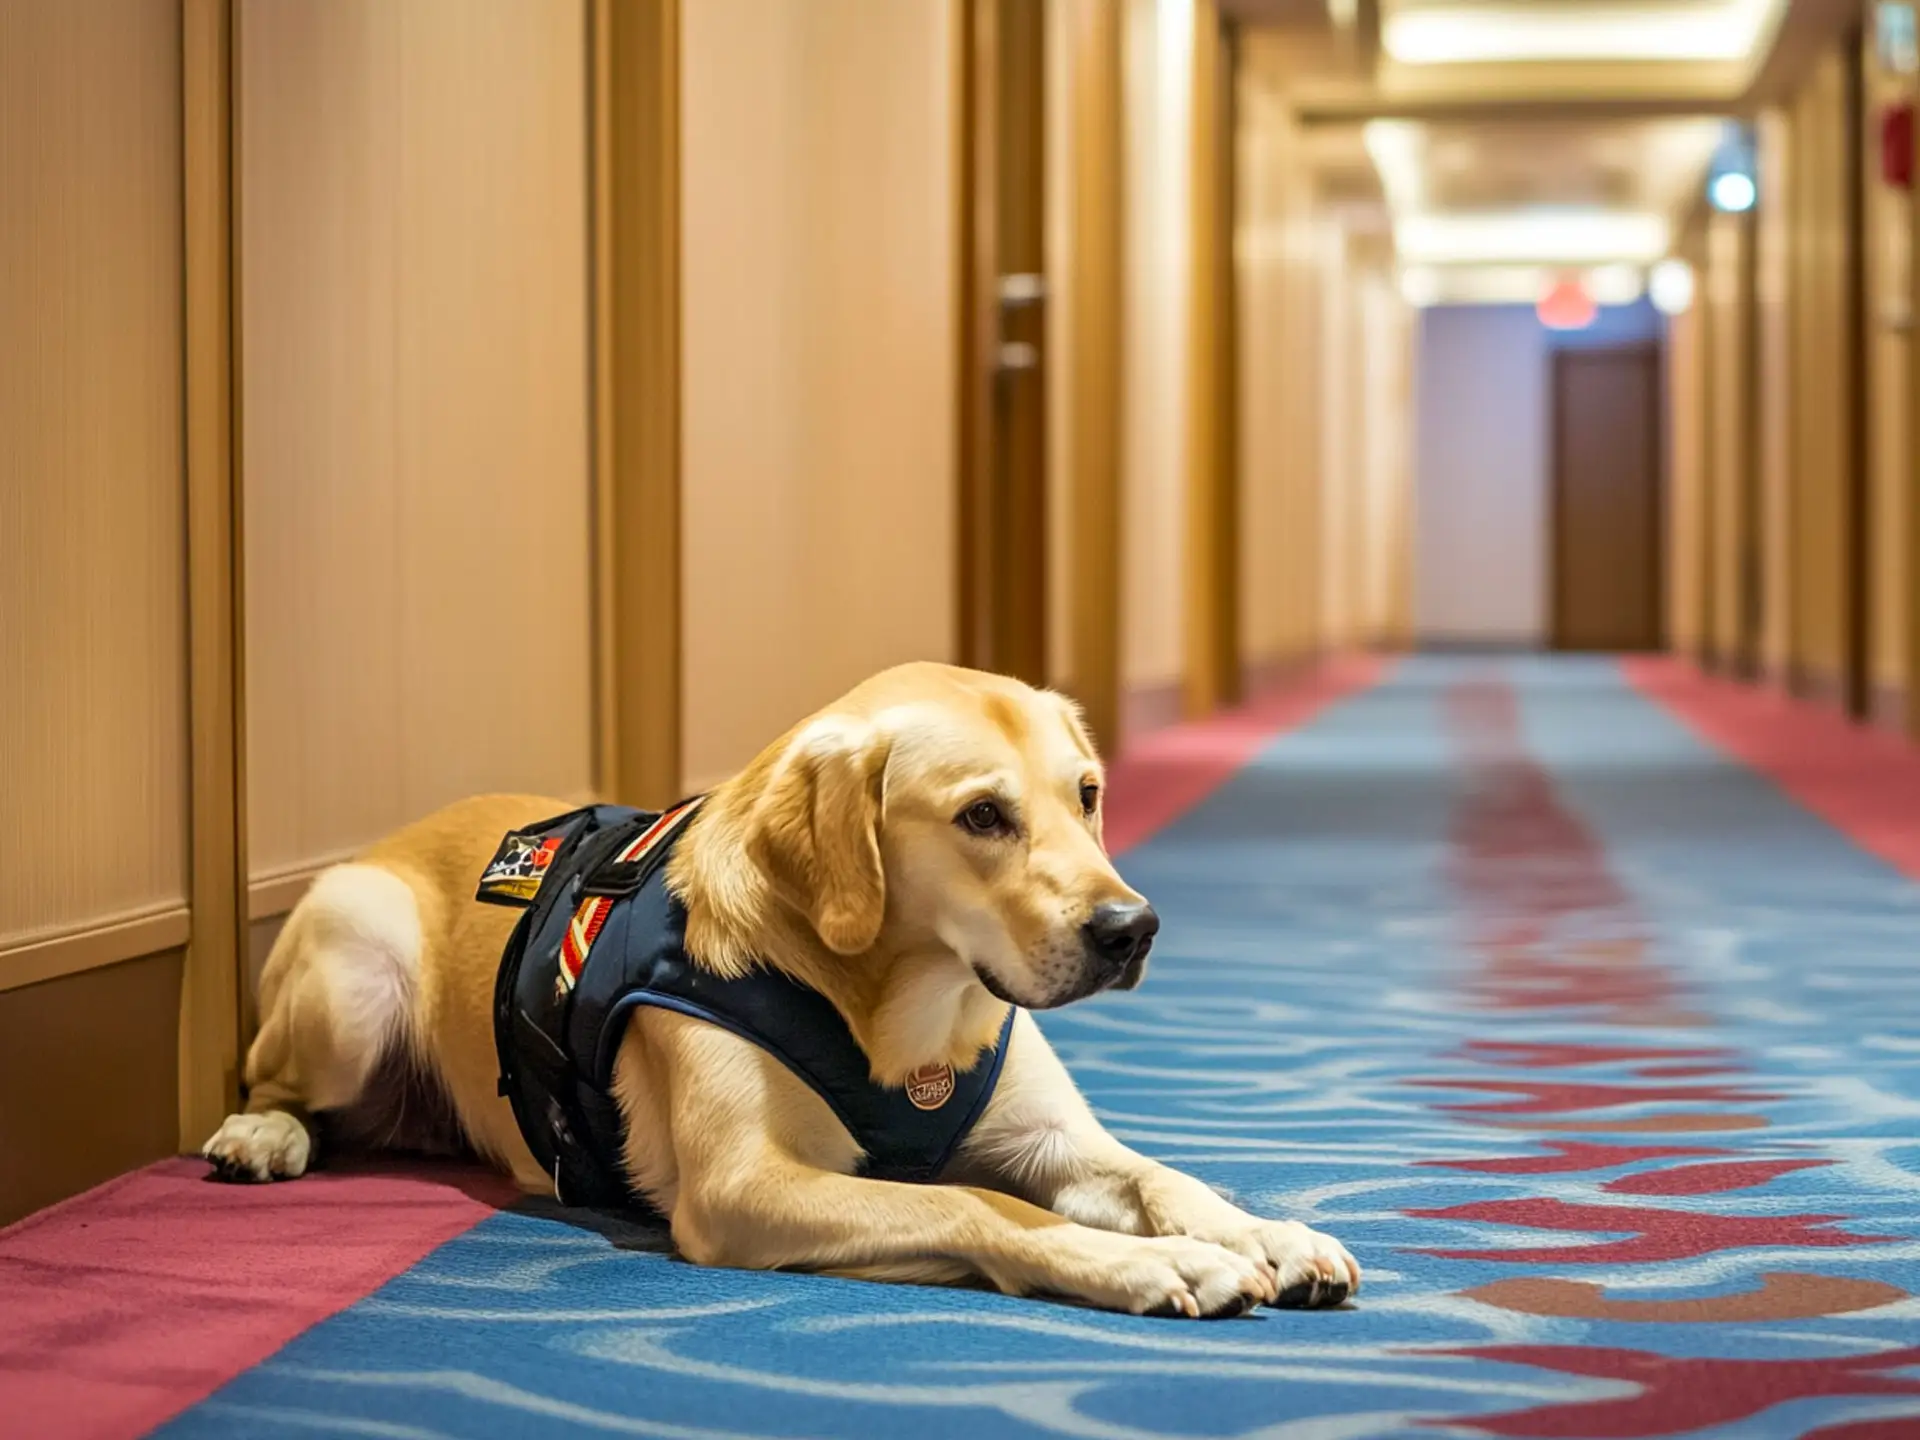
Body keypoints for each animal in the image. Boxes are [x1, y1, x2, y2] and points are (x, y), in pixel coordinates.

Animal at [206, 664, 1351, 1320]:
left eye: (1089, 796)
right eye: (983, 816)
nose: (1131, 929)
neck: (907, 1017)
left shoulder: (1054, 1143)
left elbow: (1166, 1180)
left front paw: (1264, 1234)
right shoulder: (745, 1188)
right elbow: (975, 1203)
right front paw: (1158, 1267)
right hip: (356, 962)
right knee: (277, 1084)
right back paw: (263, 1136)